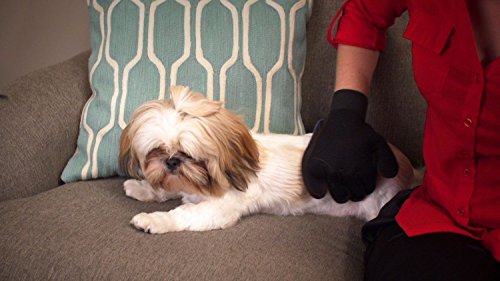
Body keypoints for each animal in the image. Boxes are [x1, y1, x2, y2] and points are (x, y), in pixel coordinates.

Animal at [118, 85, 414, 232]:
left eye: (189, 155)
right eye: (157, 151)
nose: (171, 161)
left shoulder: (220, 209)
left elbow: (183, 213)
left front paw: (153, 220)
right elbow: (166, 190)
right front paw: (142, 188)